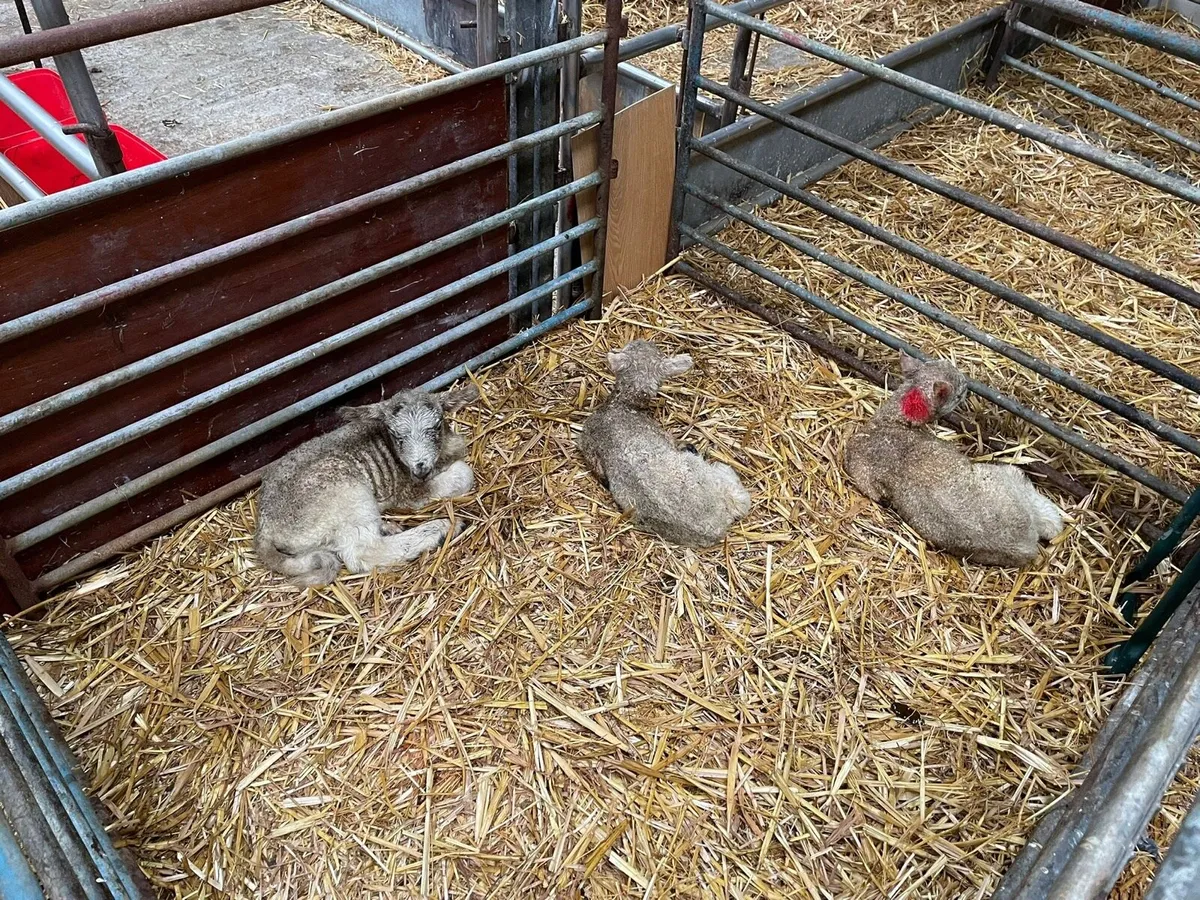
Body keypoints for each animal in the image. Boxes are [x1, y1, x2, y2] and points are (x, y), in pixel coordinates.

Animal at [254, 385, 479, 586]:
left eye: (437, 425)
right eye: (395, 434)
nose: (420, 468)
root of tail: (265, 529)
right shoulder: (409, 491)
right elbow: (464, 473)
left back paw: (389, 527)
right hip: (347, 495)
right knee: (364, 553)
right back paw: (441, 529)